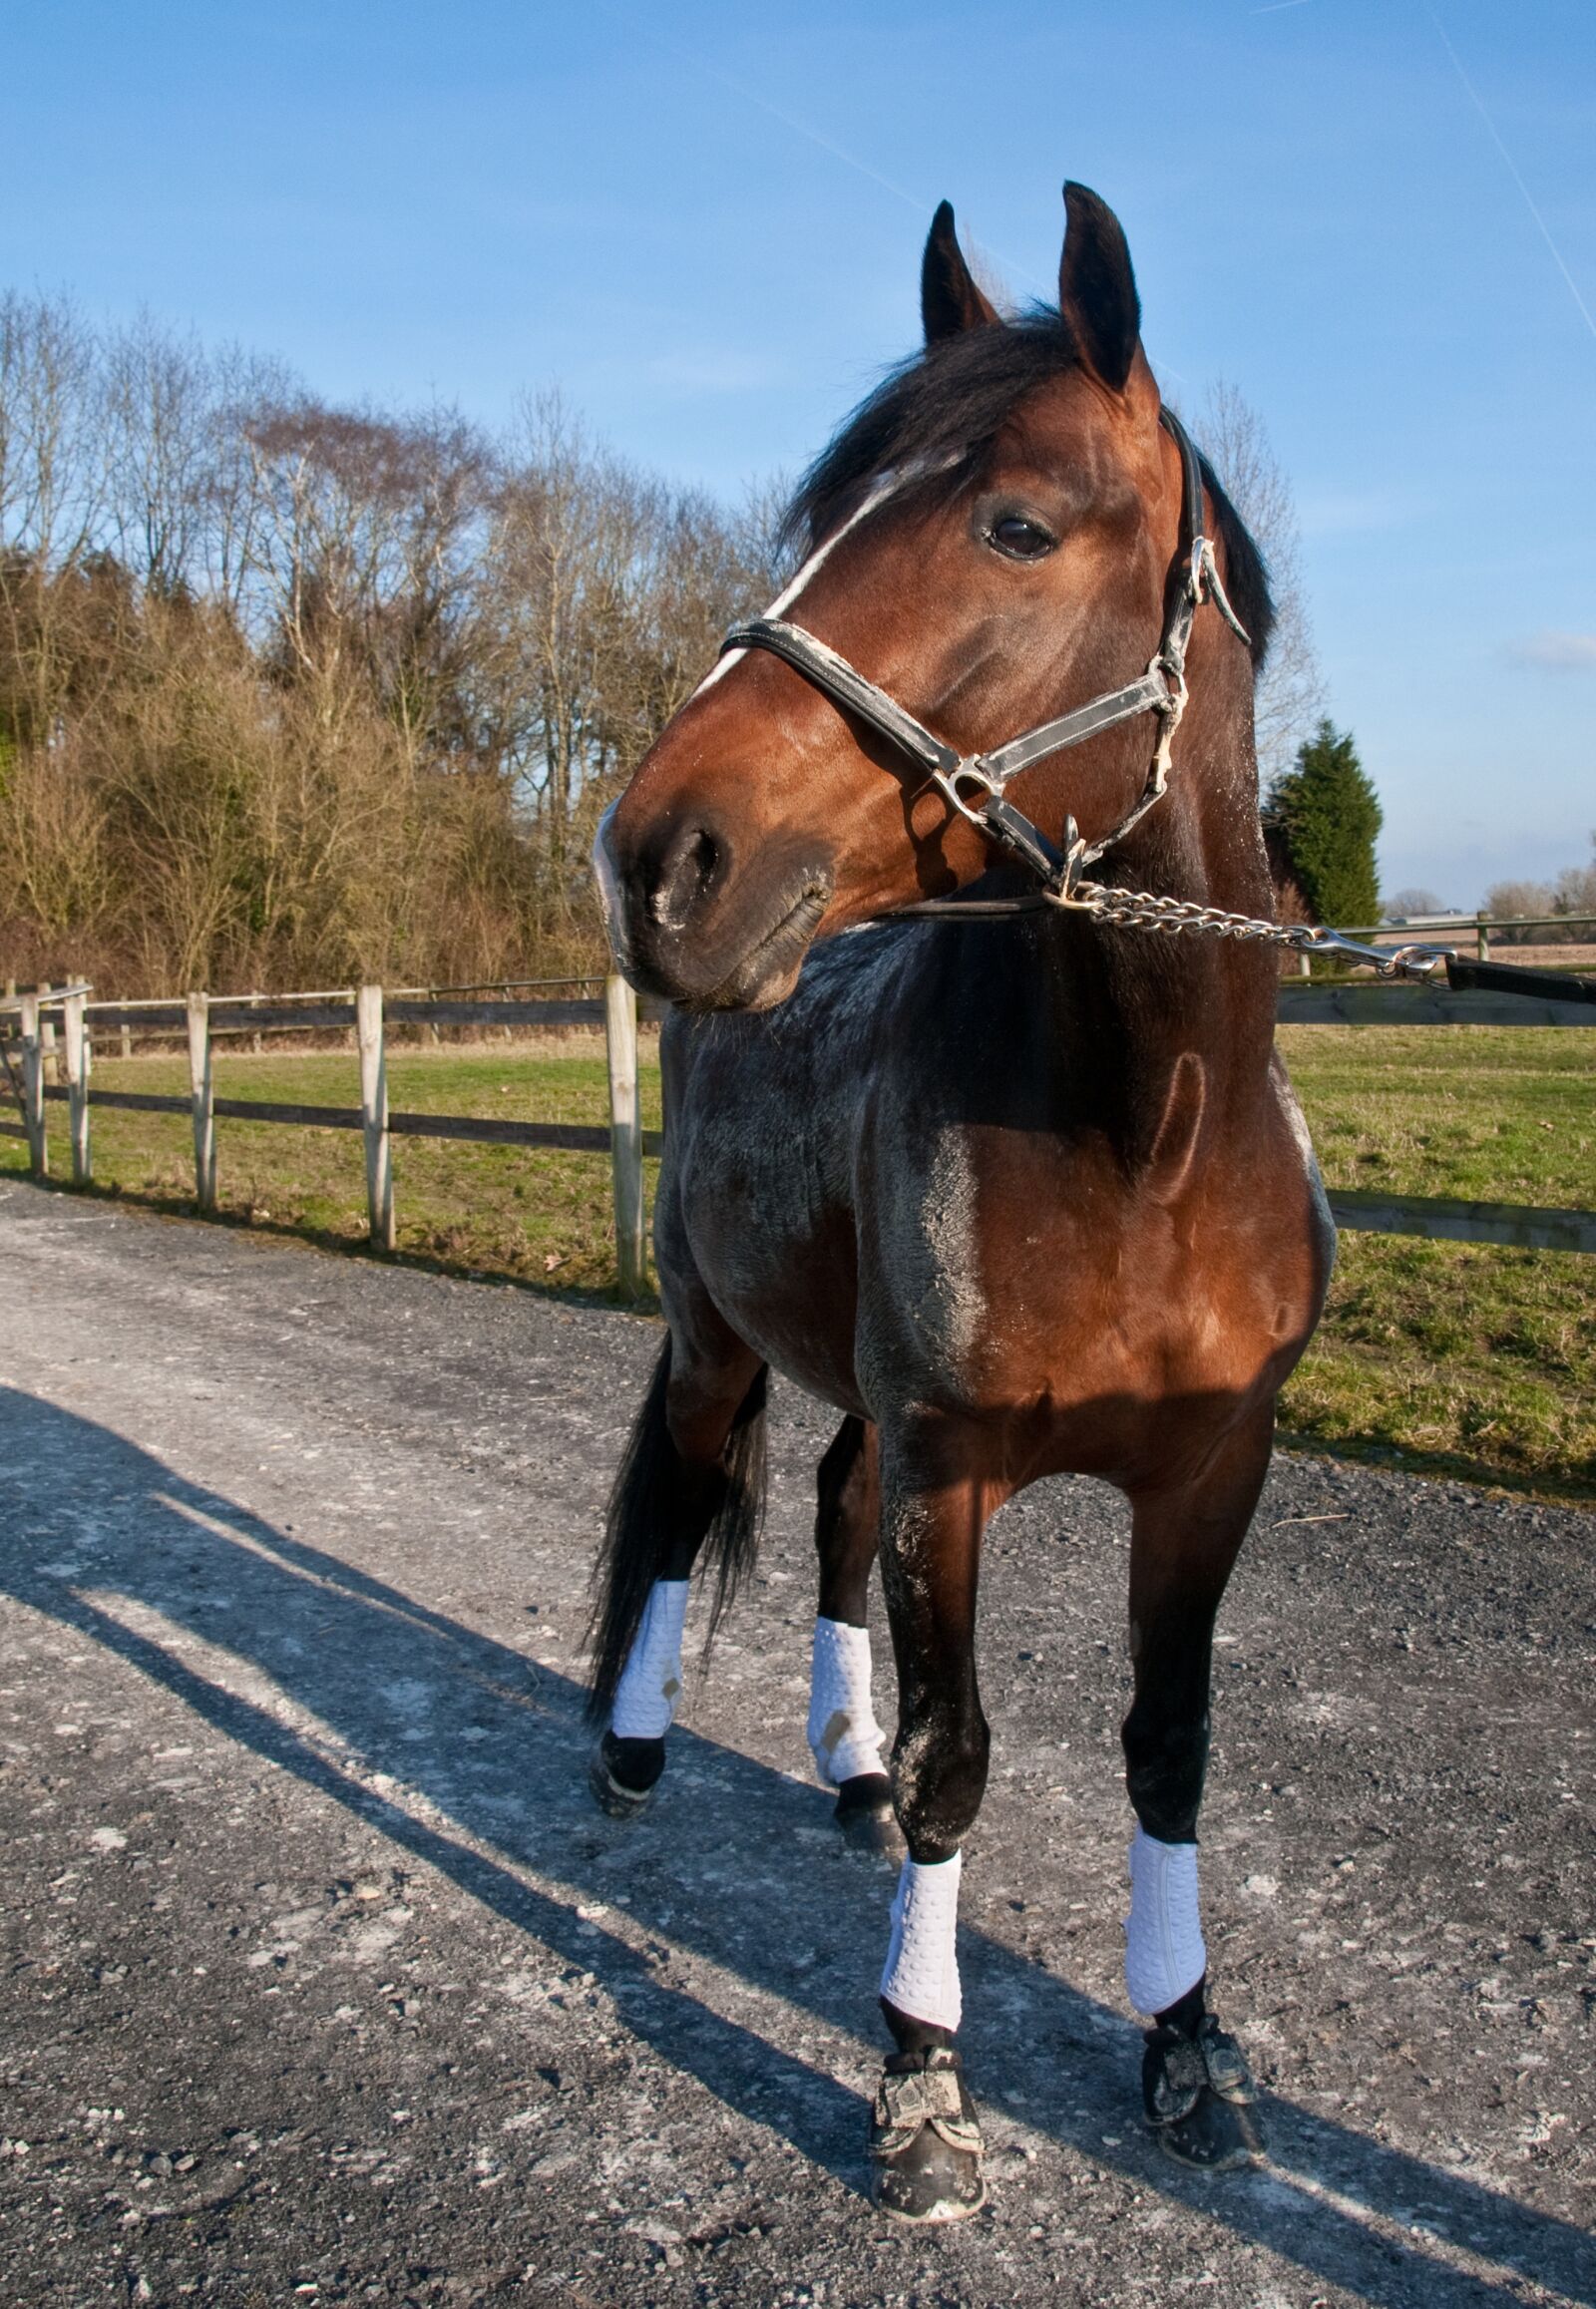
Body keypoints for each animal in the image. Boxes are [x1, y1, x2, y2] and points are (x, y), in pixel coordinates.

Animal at [585, 181, 1333, 2223]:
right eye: (827, 518)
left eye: (1014, 521)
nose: (657, 858)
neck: (1147, 1133)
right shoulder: (958, 1462)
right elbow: (960, 1764)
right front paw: (922, 2079)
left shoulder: (1210, 1471)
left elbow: (1167, 1750)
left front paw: (1187, 2045)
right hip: (716, 1349)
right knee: (679, 1515)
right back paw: (633, 1752)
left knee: (828, 1513)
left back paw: (828, 1773)